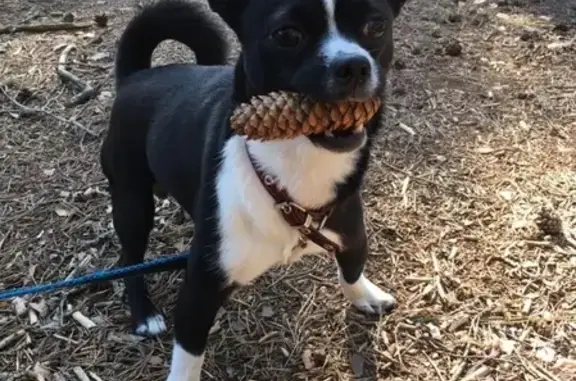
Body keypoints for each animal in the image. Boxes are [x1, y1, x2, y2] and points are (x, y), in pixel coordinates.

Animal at [100, 0, 404, 378]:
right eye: (286, 35)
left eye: (377, 26)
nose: (353, 65)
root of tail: (136, 76)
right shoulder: (201, 287)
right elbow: (188, 355)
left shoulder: (351, 231)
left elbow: (352, 268)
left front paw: (365, 295)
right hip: (132, 201)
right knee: (130, 257)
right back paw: (144, 314)